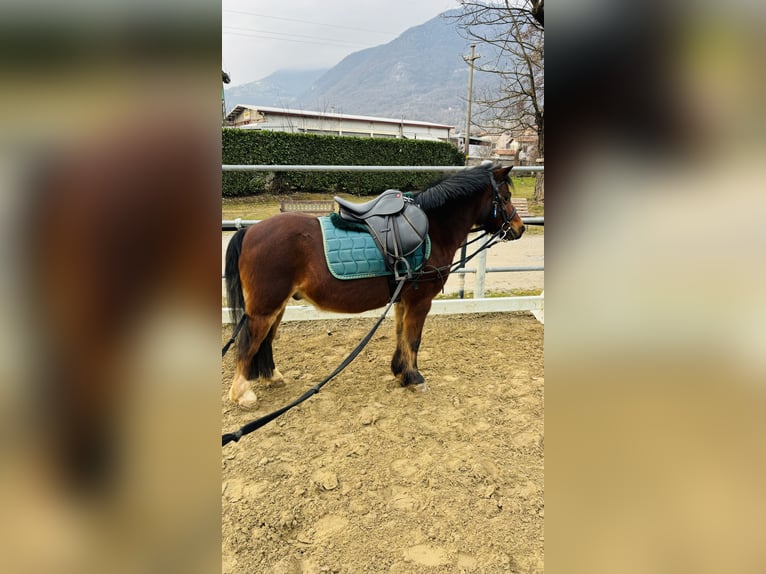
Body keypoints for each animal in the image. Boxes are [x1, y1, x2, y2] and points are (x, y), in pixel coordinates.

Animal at [224, 163, 526, 409]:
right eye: (505, 197)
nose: (520, 228)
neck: (432, 228)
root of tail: (249, 230)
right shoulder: (420, 301)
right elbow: (413, 339)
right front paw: (415, 378)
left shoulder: (403, 300)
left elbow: (401, 335)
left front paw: (400, 373)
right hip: (265, 308)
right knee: (249, 343)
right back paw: (242, 394)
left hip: (278, 305)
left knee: (266, 340)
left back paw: (270, 377)